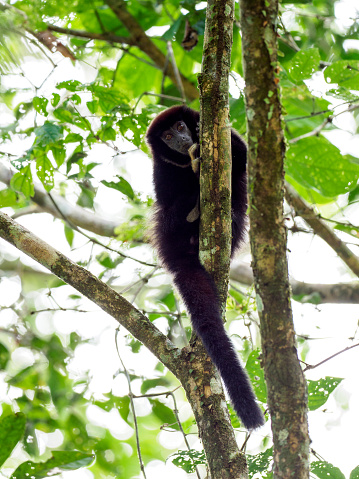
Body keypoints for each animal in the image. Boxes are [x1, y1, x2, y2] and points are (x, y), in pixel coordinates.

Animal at [146, 105, 264, 432]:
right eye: (167, 136)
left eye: (179, 126)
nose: (181, 140)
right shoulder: (160, 169)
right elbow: (166, 197)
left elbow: (242, 156)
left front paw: (201, 135)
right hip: (169, 231)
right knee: (171, 211)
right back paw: (193, 207)